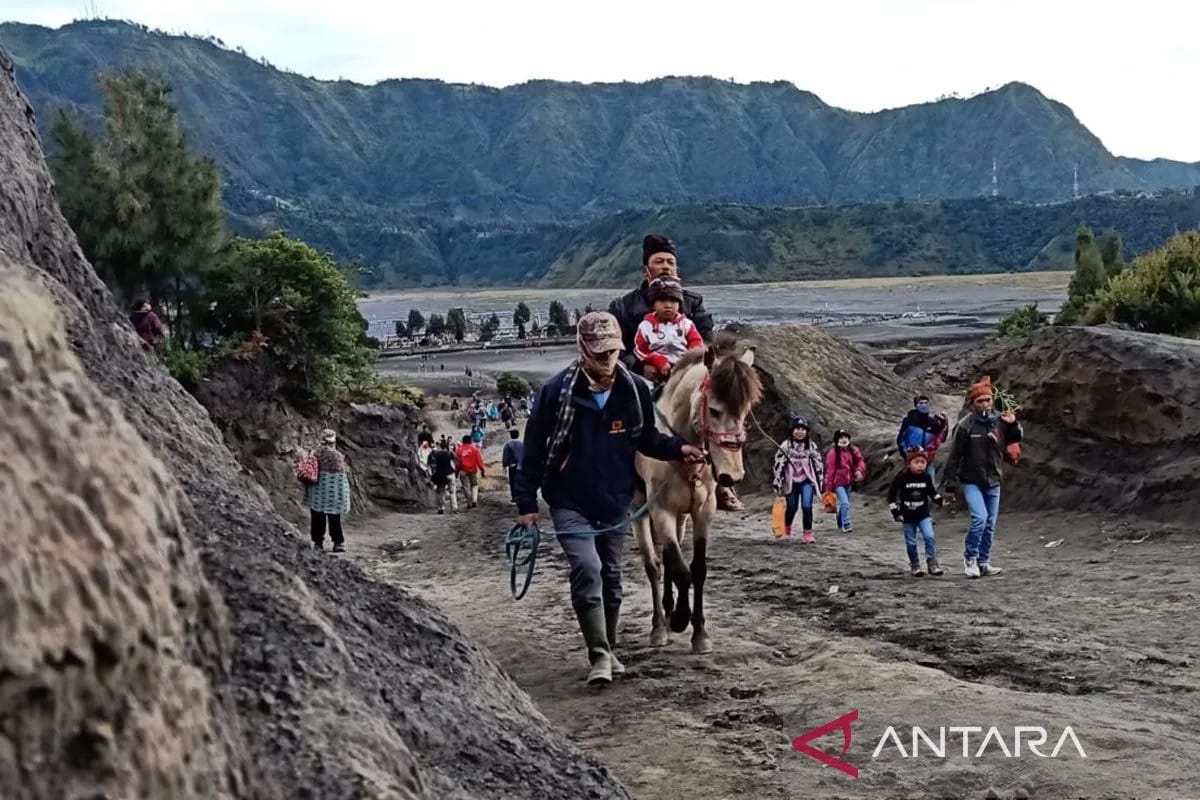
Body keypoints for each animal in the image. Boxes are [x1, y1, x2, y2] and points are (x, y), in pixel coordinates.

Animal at [633, 338, 763, 657]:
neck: (681, 452)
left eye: (745, 412)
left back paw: (668, 610)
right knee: (653, 565)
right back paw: (660, 625)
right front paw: (681, 619)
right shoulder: (662, 511)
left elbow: (697, 569)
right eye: (714, 410)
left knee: (668, 557)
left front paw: (699, 632)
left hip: (681, 515)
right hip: (640, 510)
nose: (731, 476)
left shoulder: (703, 511)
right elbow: (681, 571)